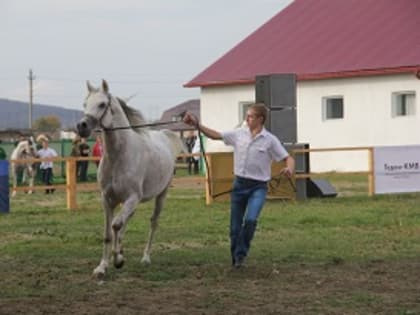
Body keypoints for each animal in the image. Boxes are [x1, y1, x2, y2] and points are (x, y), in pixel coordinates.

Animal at [78, 80, 185, 280]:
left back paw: (145, 257)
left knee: (153, 222)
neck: (119, 156)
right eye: (85, 103)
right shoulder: (107, 199)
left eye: (102, 104)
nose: (82, 126)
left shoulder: (132, 198)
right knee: (126, 221)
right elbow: (108, 232)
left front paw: (118, 260)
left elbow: (116, 225)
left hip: (161, 195)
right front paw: (102, 267)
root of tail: (164, 135)